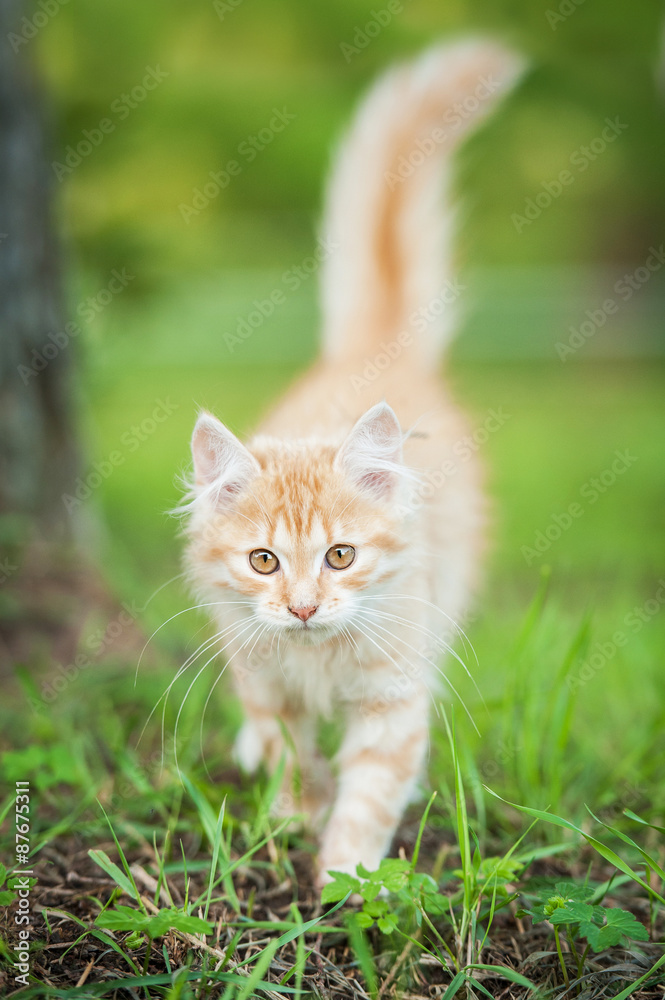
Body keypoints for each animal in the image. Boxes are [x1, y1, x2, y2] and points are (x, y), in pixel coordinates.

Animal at [179, 37, 520, 884]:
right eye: (263, 561)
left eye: (341, 555)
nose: (302, 607)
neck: (316, 659)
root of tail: (372, 353)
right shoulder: (265, 679)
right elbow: (289, 751)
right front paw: (293, 818)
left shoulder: (393, 700)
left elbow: (370, 792)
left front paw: (345, 882)